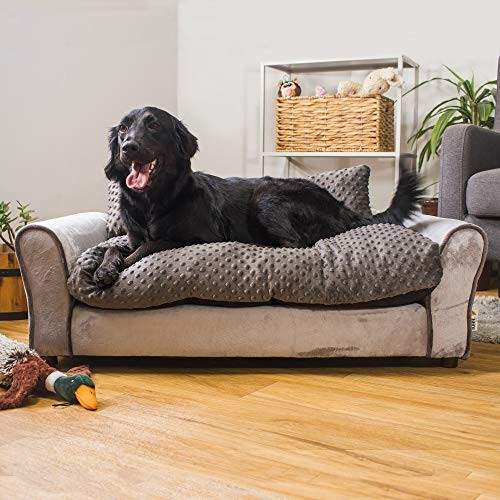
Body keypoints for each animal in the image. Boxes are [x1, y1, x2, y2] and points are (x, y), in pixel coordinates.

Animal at [94, 107, 422, 290]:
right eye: (123, 128)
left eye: (153, 125)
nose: (128, 147)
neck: (151, 201)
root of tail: (340, 206)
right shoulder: (133, 235)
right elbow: (114, 247)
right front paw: (104, 267)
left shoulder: (195, 237)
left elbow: (149, 245)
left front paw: (118, 266)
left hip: (266, 198)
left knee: (296, 243)